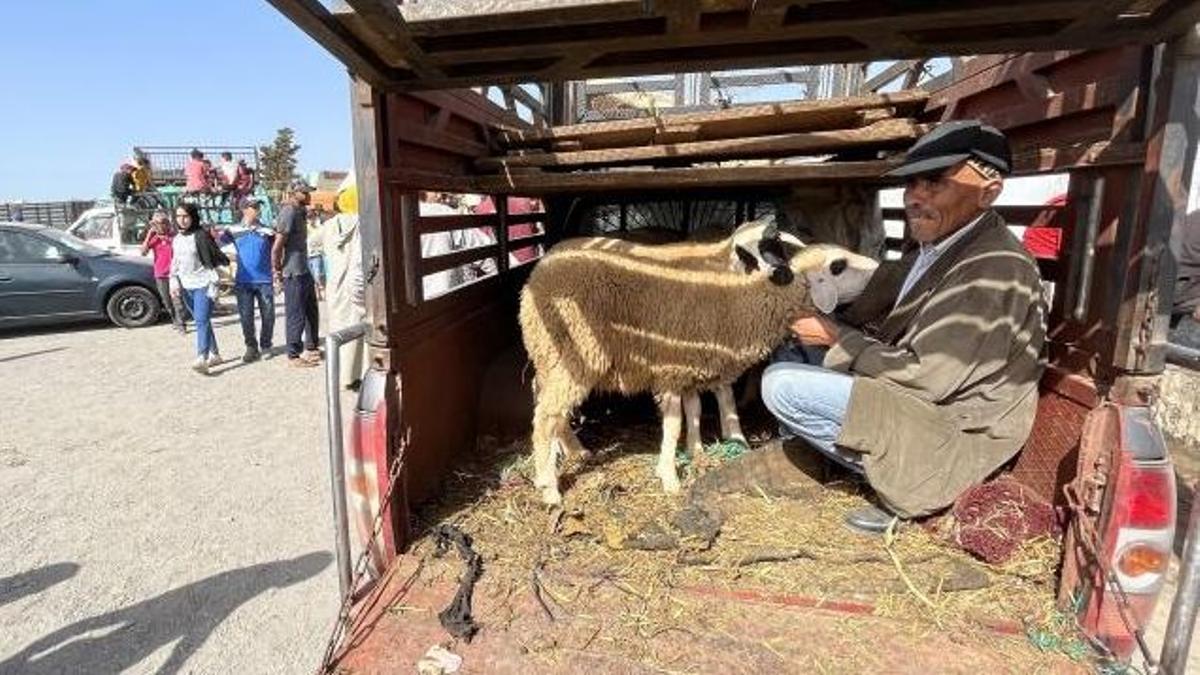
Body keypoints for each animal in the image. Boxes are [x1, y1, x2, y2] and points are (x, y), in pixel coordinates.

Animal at [520, 228, 878, 502]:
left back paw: (573, 451)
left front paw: (698, 451)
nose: (879, 266)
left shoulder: (693, 370)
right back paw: (549, 486)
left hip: (549, 354)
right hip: (575, 352)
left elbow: (695, 411)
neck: (736, 302)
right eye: (838, 266)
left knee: (545, 401)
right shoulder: (671, 371)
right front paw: (669, 477)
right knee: (546, 416)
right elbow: (674, 424)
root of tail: (539, 273)